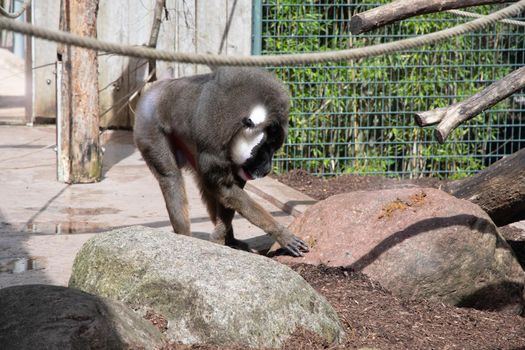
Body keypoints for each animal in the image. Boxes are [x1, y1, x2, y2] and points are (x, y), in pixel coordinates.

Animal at [133, 66, 310, 258]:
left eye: (273, 149)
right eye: (264, 148)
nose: (267, 170)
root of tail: (155, 89)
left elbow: (228, 190)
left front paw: (222, 237)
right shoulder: (213, 140)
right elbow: (224, 188)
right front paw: (281, 233)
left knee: (208, 188)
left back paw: (230, 239)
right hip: (148, 127)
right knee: (171, 178)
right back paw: (184, 237)